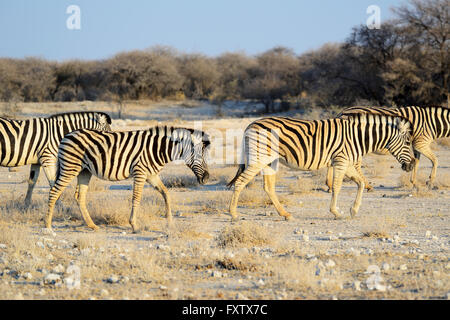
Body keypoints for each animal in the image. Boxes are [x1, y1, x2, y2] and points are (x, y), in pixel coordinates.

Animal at [44, 125, 210, 232]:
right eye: (200, 156)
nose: (207, 178)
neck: (158, 150)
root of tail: (67, 135)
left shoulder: (151, 175)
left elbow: (166, 194)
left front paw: (170, 222)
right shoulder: (140, 172)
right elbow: (136, 198)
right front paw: (134, 226)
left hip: (84, 171)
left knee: (79, 196)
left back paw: (92, 225)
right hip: (70, 167)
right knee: (54, 192)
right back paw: (48, 226)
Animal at [227, 114, 416, 221]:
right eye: (408, 142)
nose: (412, 164)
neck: (358, 137)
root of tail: (251, 124)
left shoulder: (347, 163)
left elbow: (361, 183)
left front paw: (354, 210)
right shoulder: (341, 160)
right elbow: (337, 187)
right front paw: (336, 212)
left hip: (270, 160)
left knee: (268, 187)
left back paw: (285, 214)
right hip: (259, 158)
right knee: (240, 182)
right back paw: (233, 214)